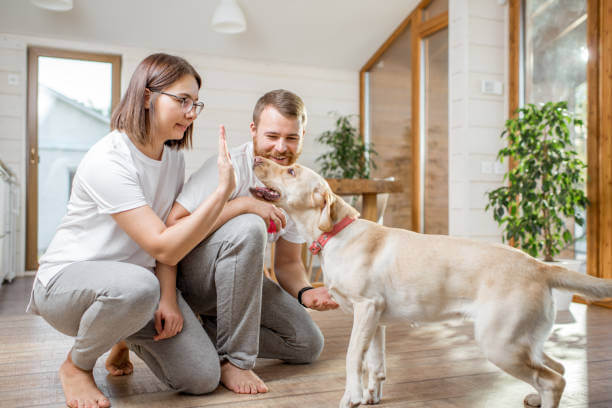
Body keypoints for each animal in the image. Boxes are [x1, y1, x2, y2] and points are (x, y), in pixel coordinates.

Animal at [251, 155, 612, 408]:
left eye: (291, 171)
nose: (255, 159)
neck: (336, 233)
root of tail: (538, 265)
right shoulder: (376, 320)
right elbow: (375, 364)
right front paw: (370, 395)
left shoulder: (366, 309)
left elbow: (354, 357)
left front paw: (351, 396)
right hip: (522, 341)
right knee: (557, 368)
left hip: (500, 343)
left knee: (552, 379)